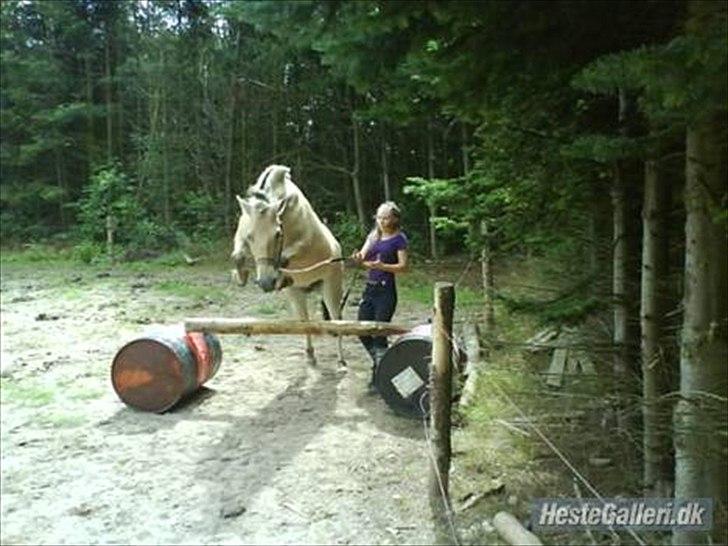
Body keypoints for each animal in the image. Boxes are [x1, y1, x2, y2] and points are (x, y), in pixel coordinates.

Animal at [233, 164, 346, 364]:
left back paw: (341, 360)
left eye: (278, 234)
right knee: (305, 321)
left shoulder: (305, 244)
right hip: (297, 293)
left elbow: (287, 256)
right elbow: (238, 252)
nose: (265, 282)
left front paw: (278, 274)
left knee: (336, 319)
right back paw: (310, 353)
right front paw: (241, 275)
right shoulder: (242, 230)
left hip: (331, 288)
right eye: (250, 237)